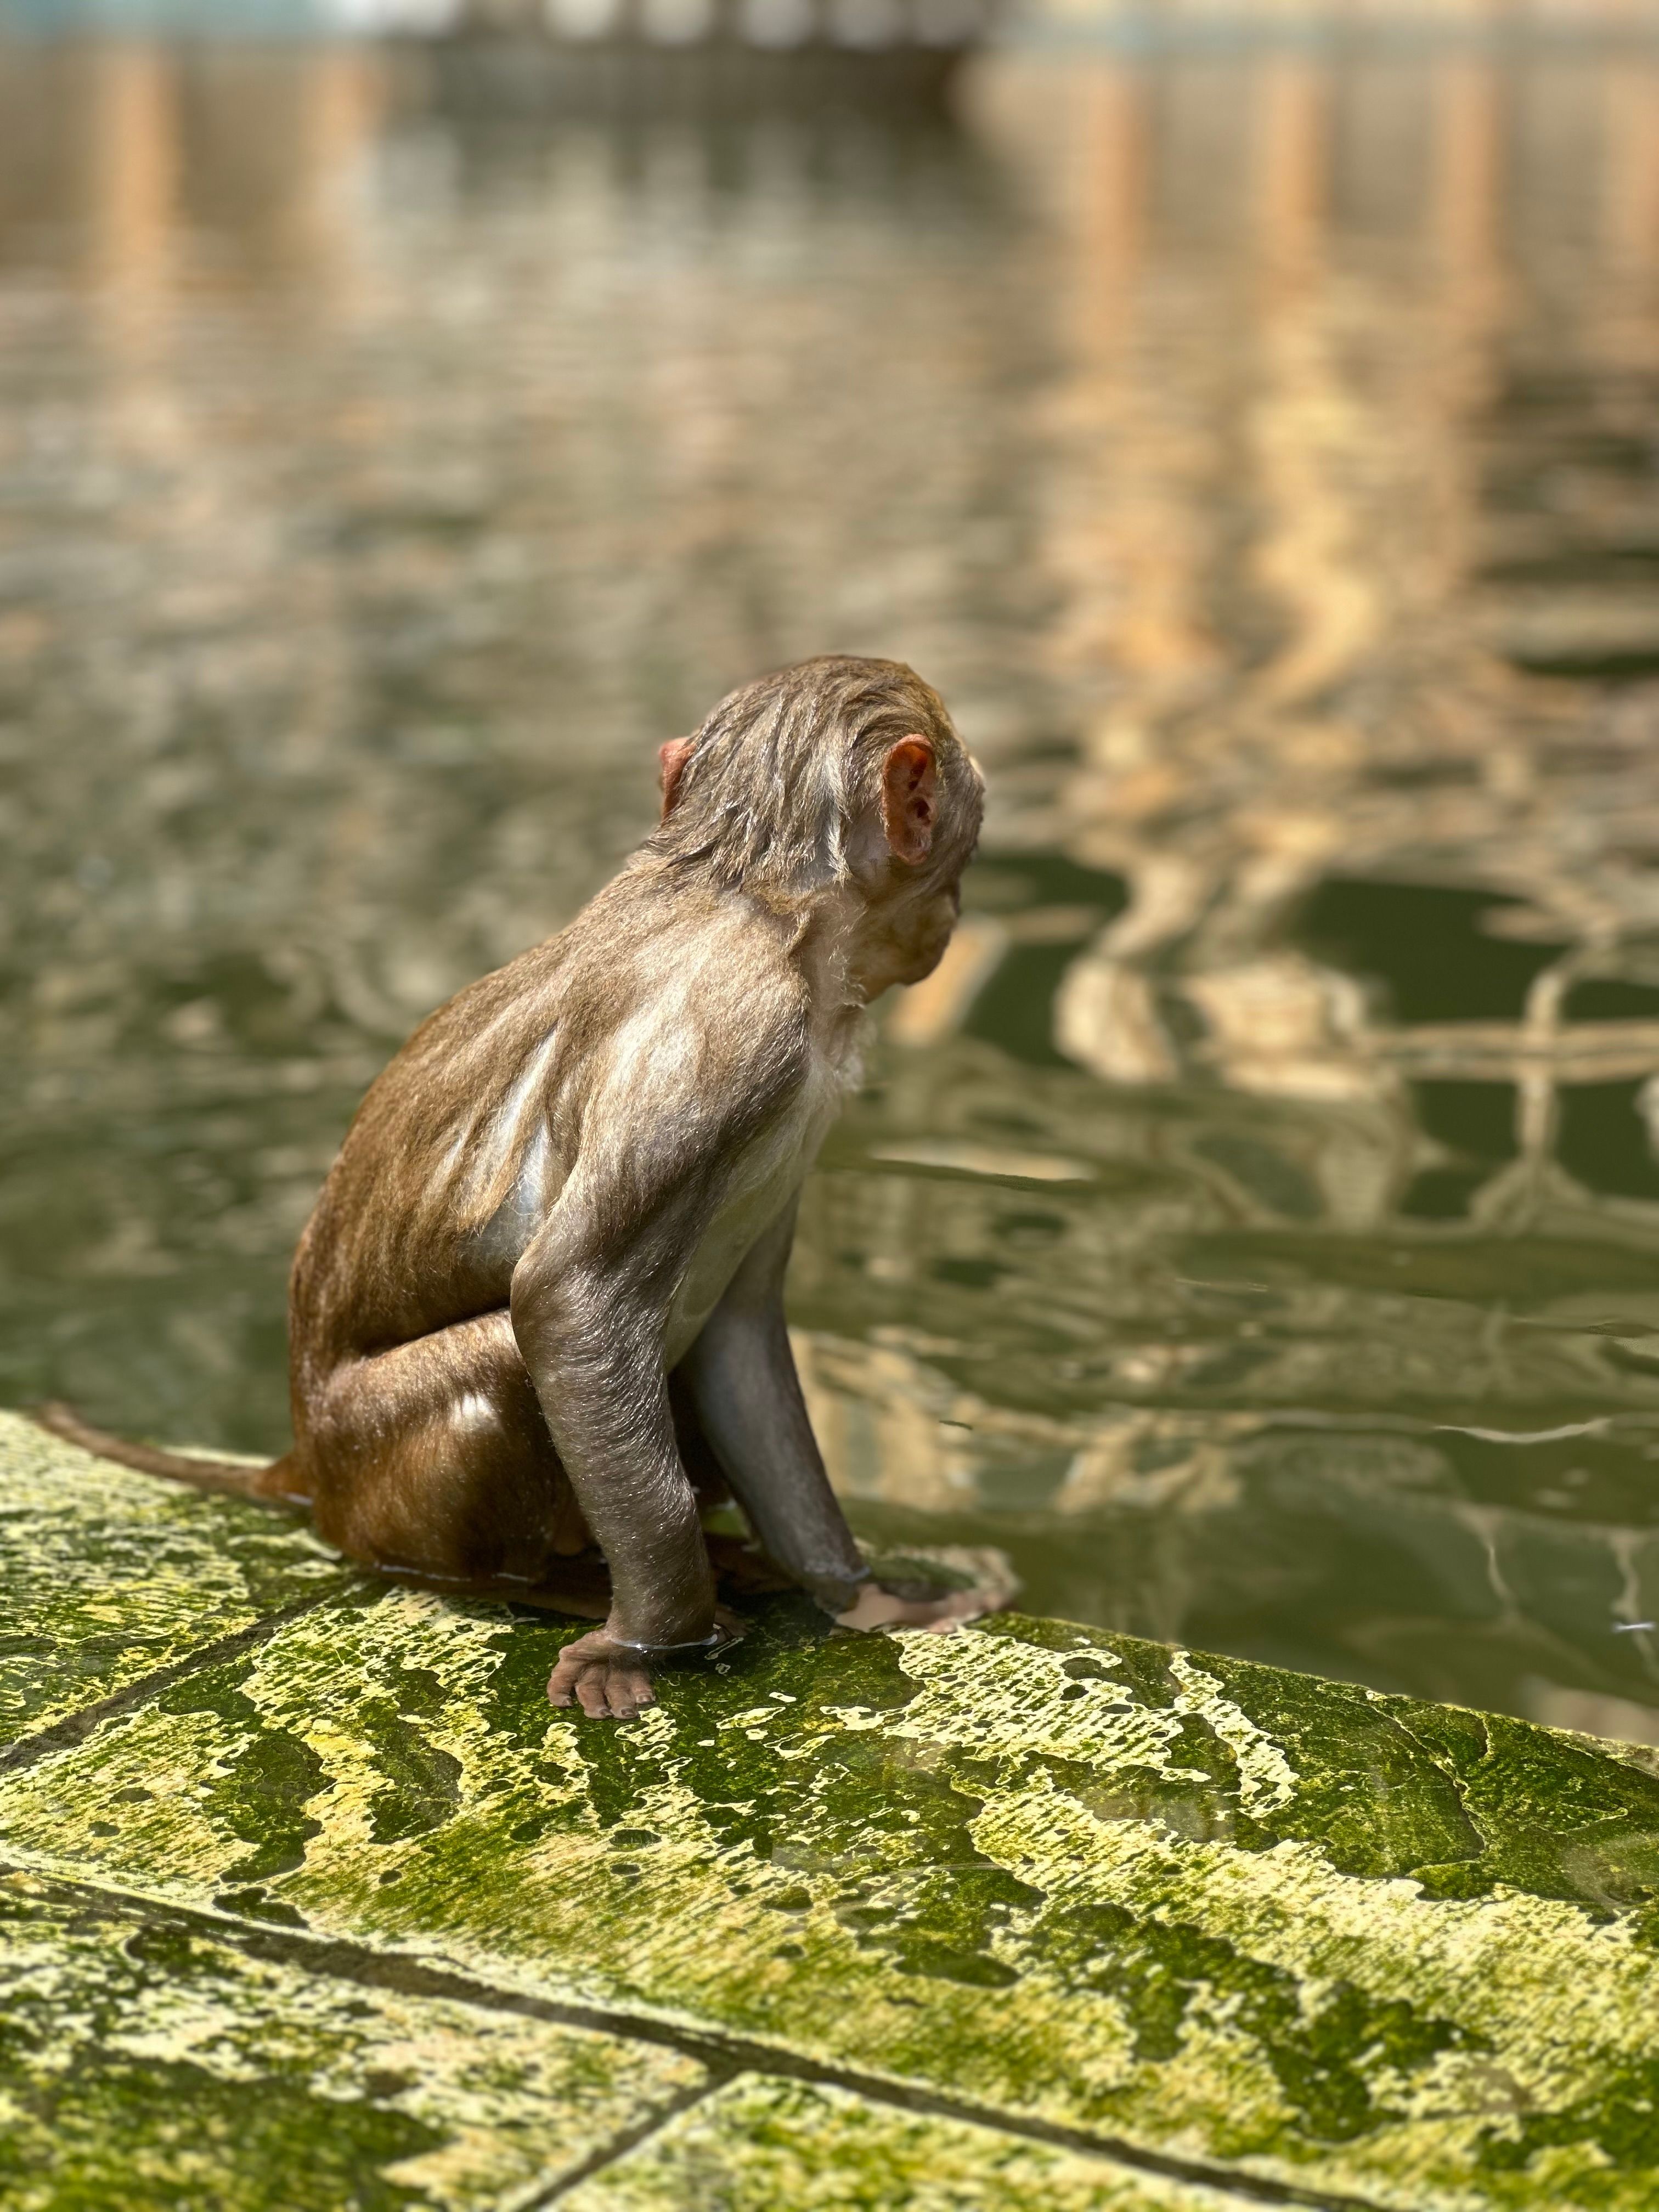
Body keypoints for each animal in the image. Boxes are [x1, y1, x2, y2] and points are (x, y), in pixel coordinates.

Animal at [39, 656, 995, 1720]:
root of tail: (306, 1467)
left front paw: (857, 1594)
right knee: (503, 1364)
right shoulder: (731, 1042)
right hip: (378, 1474)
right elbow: (570, 1295)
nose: (950, 921)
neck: (748, 894)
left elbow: (742, 1336)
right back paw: (555, 1581)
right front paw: (653, 1641)